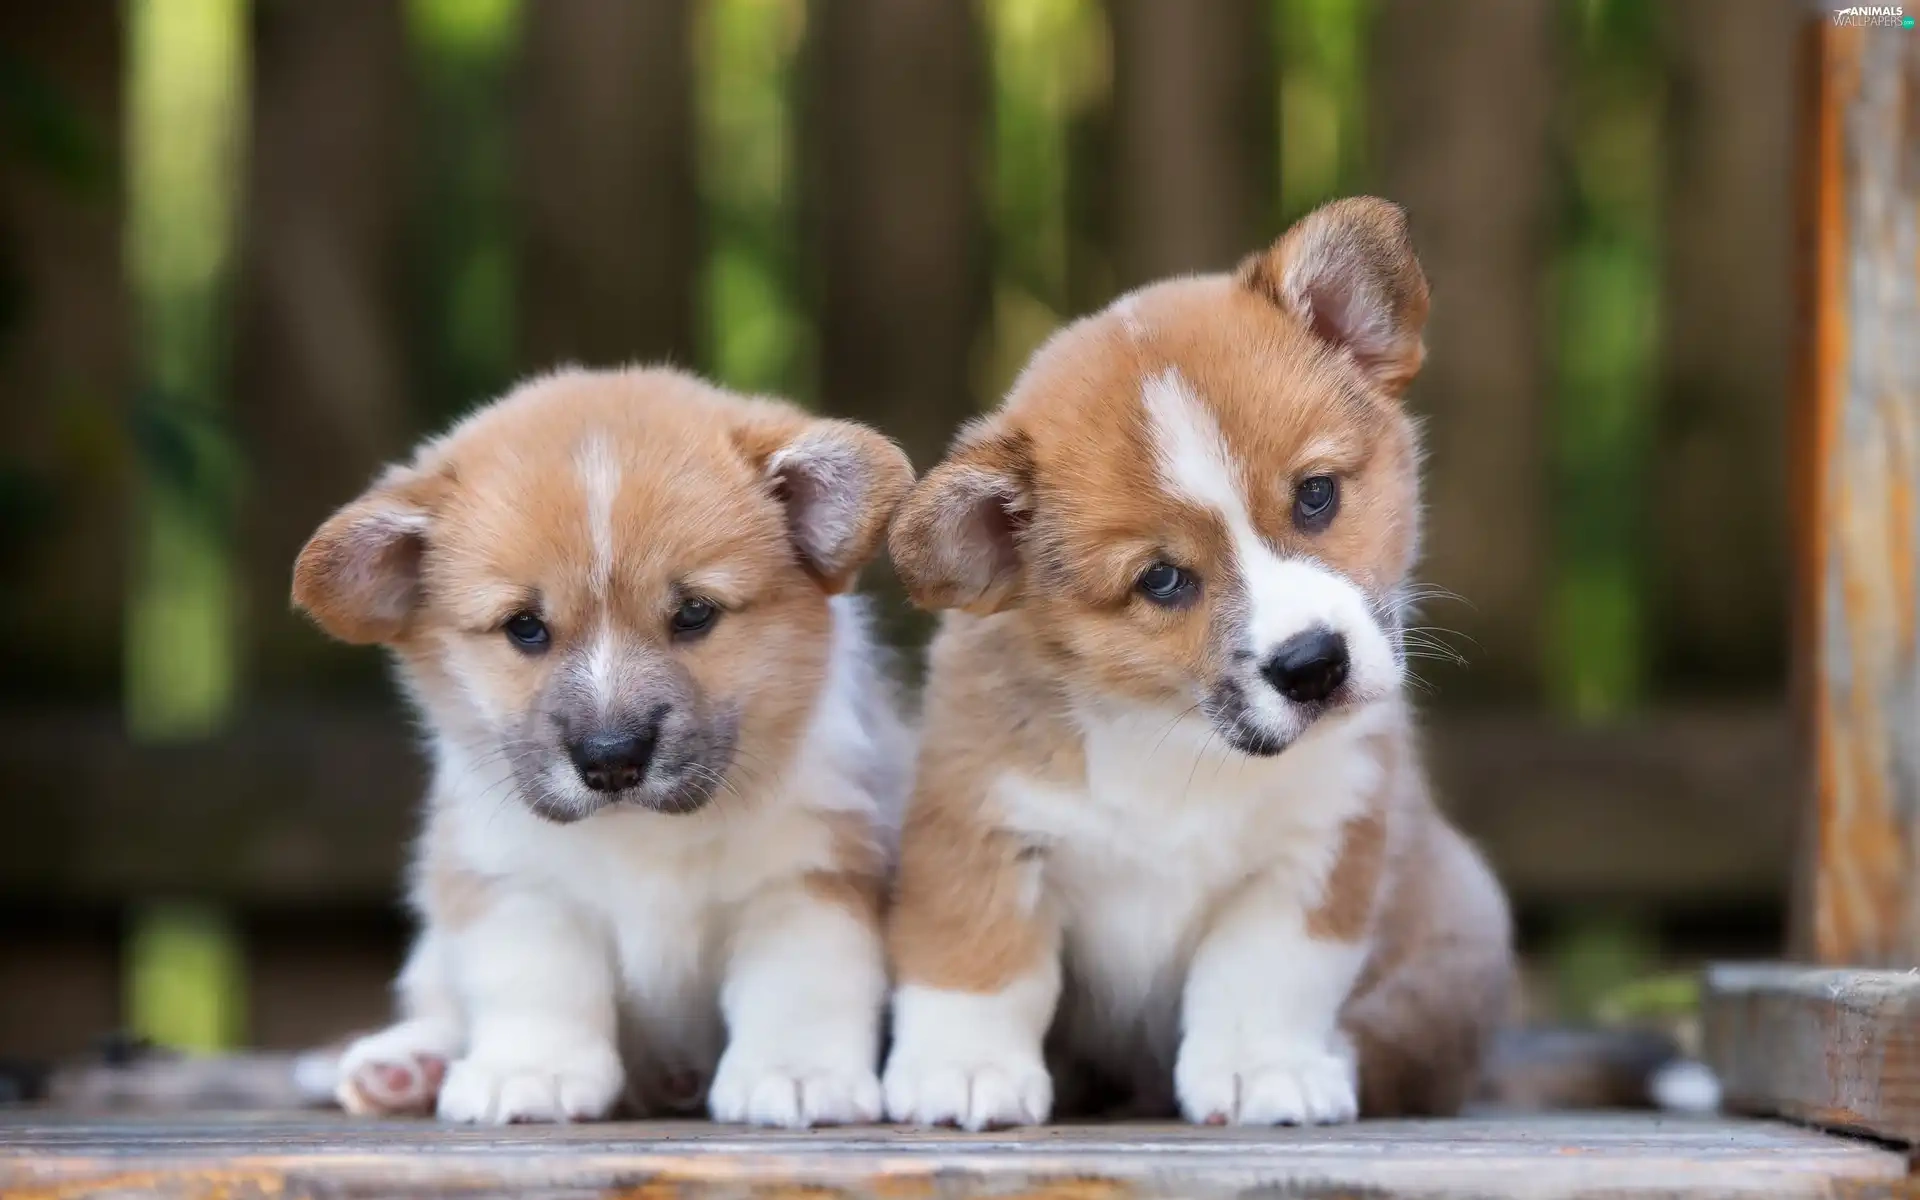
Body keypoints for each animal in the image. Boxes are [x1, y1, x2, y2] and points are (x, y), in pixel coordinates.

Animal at [291, 366, 914, 1127]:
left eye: (695, 613)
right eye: (524, 627)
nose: (613, 759)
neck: (640, 834)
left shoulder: (811, 873)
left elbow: (799, 987)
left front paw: (795, 1073)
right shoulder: (514, 880)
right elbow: (536, 982)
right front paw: (530, 1071)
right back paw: (406, 1065)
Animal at [878, 197, 1515, 1129]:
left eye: (1316, 495)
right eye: (1162, 579)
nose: (1314, 666)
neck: (1176, 735)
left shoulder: (1318, 849)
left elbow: (1260, 975)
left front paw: (1262, 1068)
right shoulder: (980, 824)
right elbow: (979, 957)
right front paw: (963, 1068)